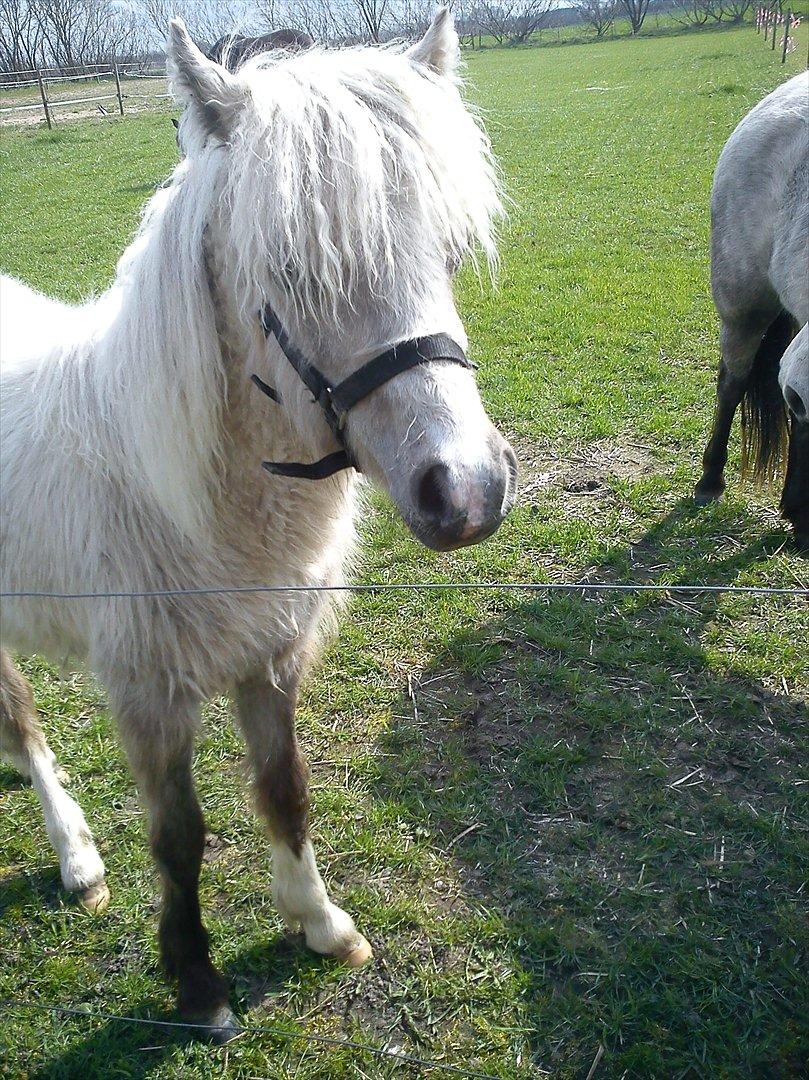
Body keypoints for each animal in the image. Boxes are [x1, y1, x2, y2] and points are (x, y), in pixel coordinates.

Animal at [0, 10, 518, 1036]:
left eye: (446, 248)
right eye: (291, 269)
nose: (468, 490)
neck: (186, 499)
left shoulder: (268, 658)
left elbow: (286, 793)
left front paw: (318, 923)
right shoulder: (149, 692)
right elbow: (179, 837)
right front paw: (197, 982)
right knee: (23, 725)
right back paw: (77, 859)